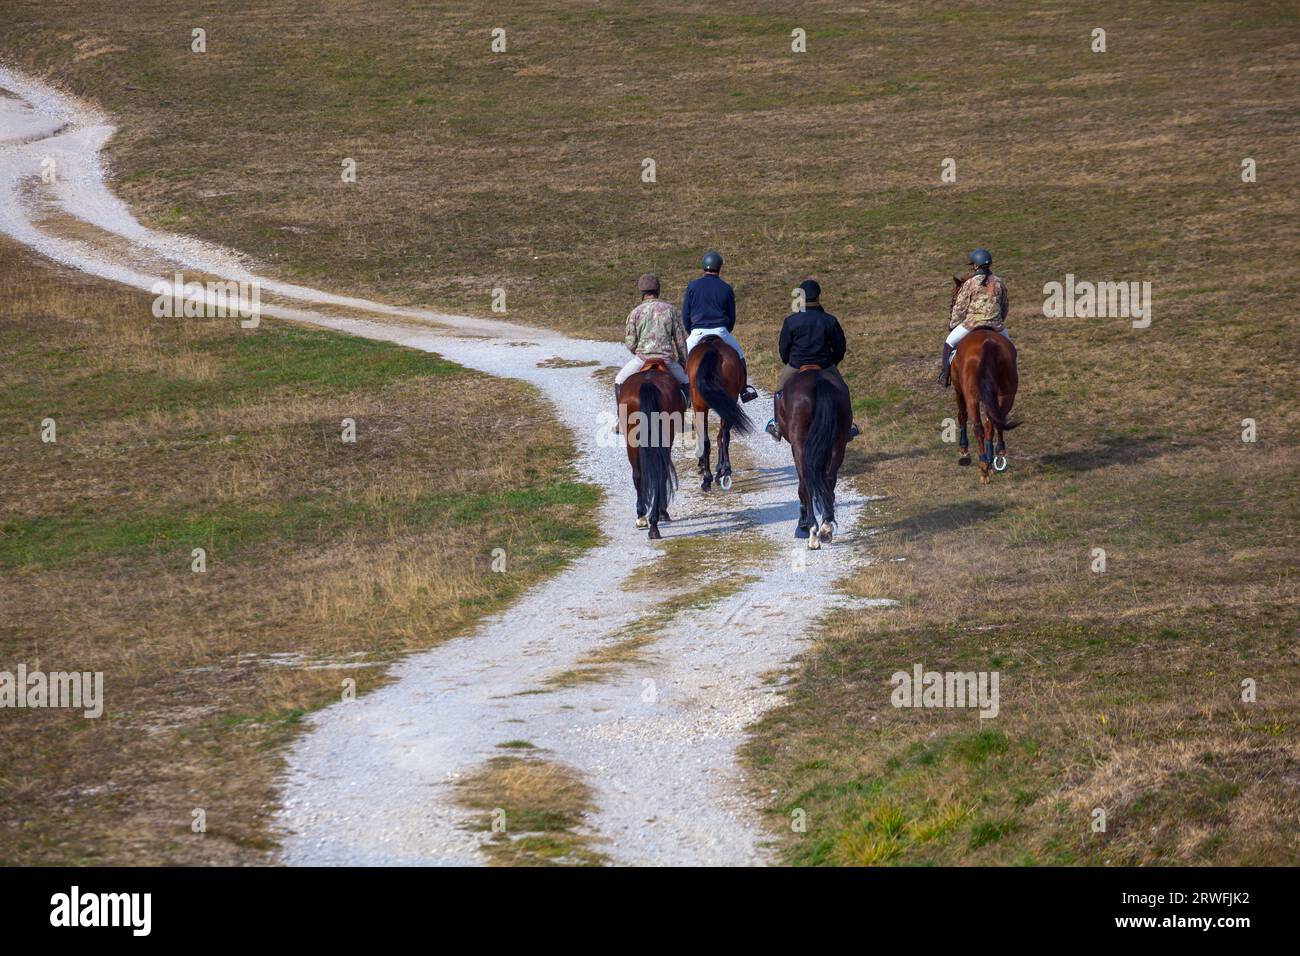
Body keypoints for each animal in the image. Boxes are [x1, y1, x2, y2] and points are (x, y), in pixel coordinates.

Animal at [621, 358, 691, 538]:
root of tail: (648, 383)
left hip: (632, 440)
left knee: (638, 474)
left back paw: (643, 518)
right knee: (660, 472)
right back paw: (654, 521)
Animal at [691, 335, 754, 494]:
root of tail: (712, 348)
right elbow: (722, 436)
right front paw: (719, 469)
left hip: (704, 406)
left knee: (712, 438)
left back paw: (710, 477)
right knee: (722, 436)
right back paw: (723, 472)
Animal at [769, 366, 852, 548]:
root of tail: (818, 380)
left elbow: (802, 486)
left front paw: (802, 525)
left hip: (800, 444)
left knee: (806, 482)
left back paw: (813, 532)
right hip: (838, 443)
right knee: (829, 478)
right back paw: (826, 528)